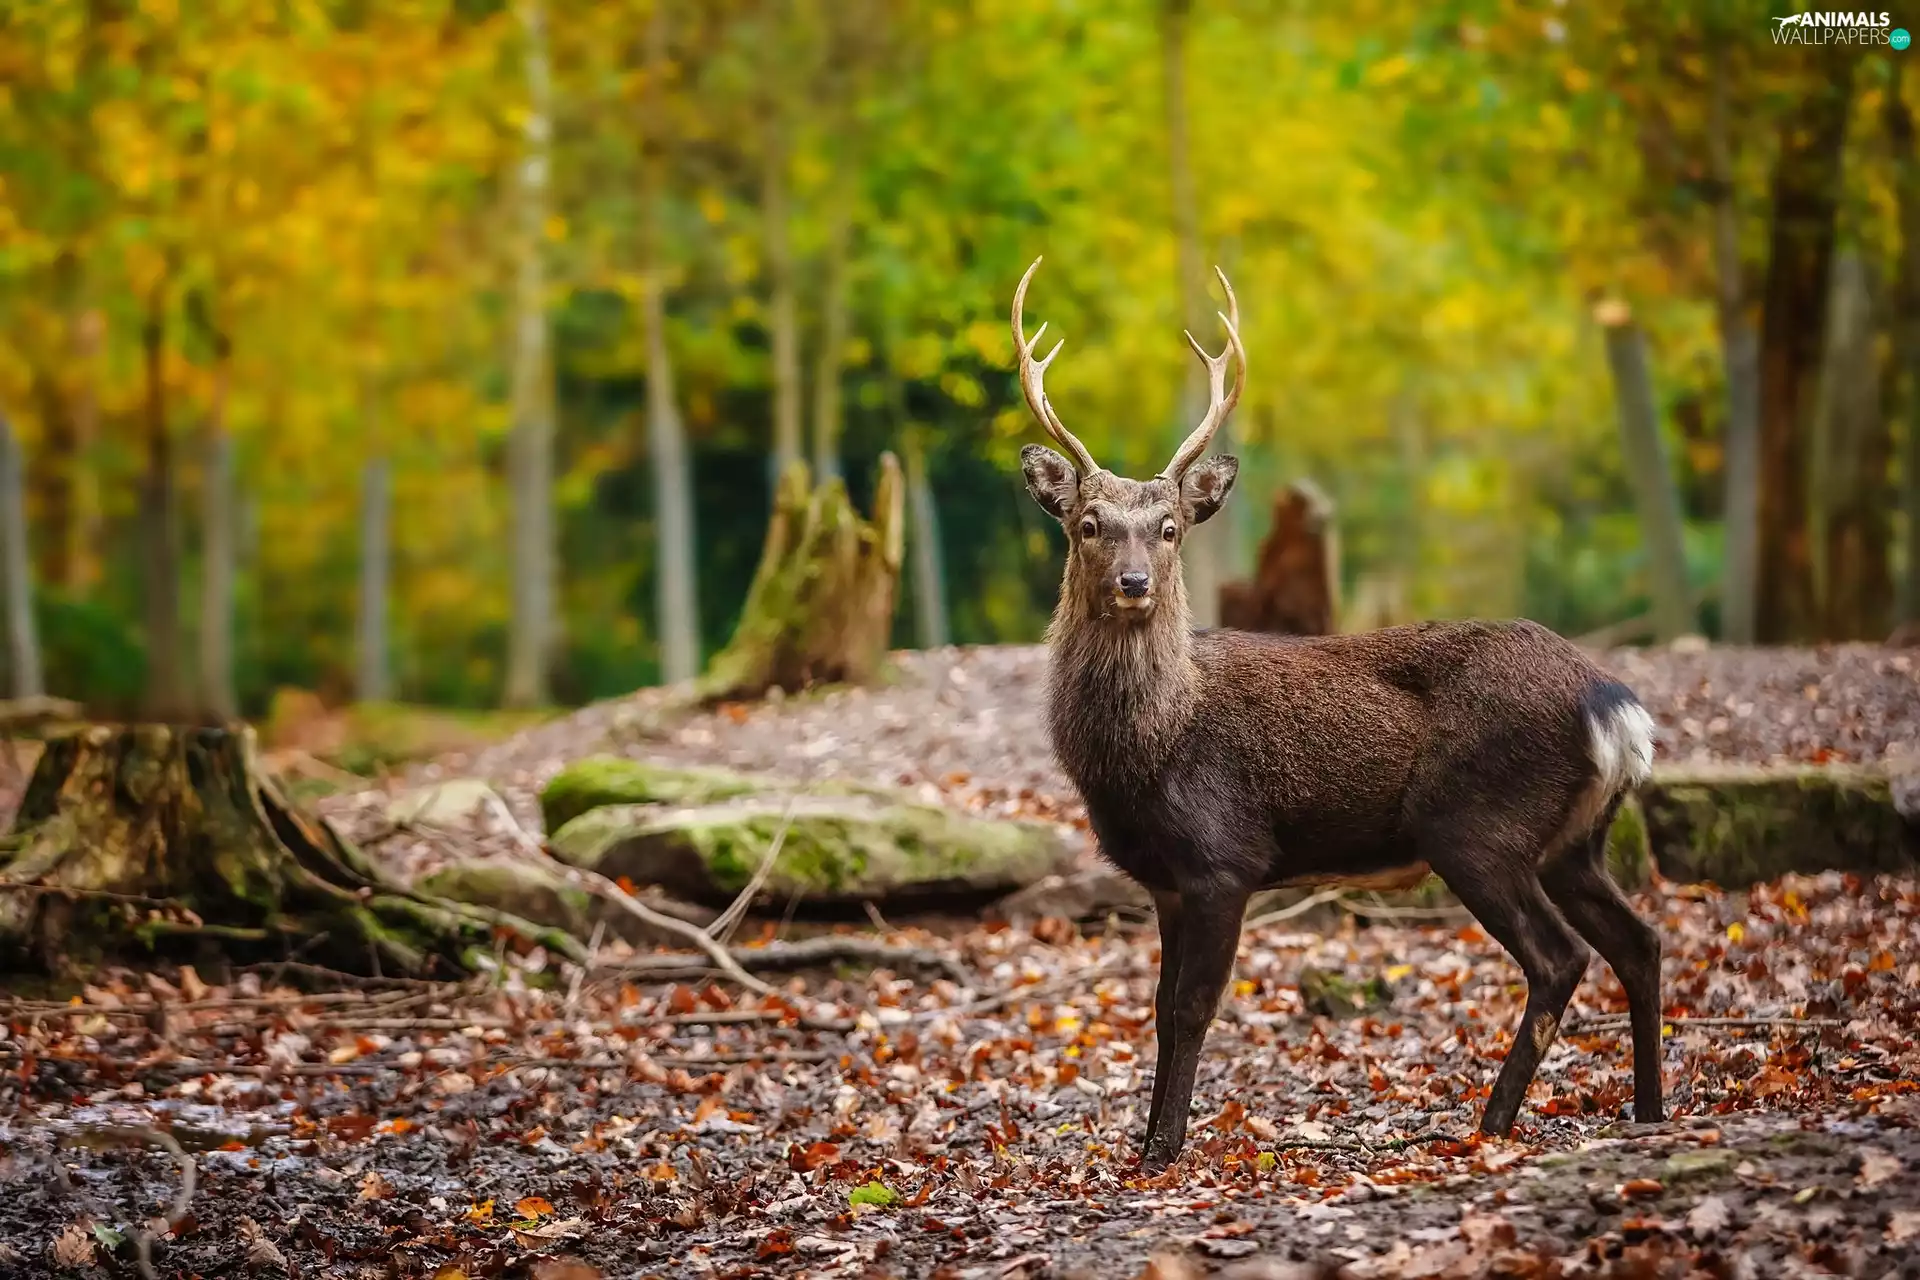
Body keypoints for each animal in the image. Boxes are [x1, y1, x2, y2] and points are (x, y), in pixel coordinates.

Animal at [1009, 258, 1663, 1171]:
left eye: (1170, 528)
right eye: (1087, 524)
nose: (1134, 583)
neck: (1150, 748)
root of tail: (1611, 703)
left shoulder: (1224, 859)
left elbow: (1191, 1010)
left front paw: (1163, 1151)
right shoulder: (1165, 882)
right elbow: (1156, 1010)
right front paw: (1143, 1142)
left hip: (1475, 825)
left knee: (1559, 957)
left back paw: (1491, 1124)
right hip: (1576, 837)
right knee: (1640, 941)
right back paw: (1647, 1109)